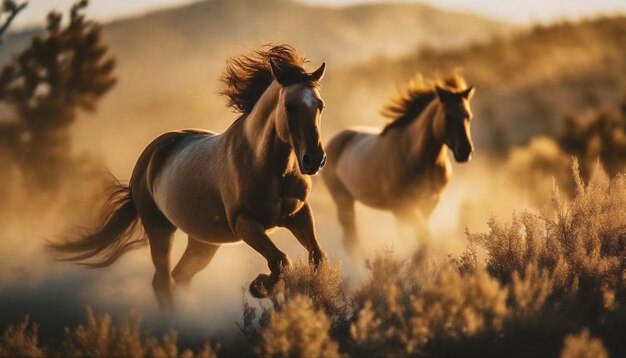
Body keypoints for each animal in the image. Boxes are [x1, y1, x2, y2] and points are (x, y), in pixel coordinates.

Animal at [48, 44, 326, 310]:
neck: (267, 166)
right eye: (289, 106)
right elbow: (280, 260)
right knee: (163, 281)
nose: (314, 159)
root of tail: (148, 157)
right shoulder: (245, 223)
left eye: (320, 106)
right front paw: (259, 286)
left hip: (203, 241)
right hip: (160, 229)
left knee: (180, 276)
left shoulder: (298, 214)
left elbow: (316, 257)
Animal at [322, 74, 472, 256]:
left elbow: (418, 236)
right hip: (343, 200)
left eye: (468, 116)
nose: (465, 151)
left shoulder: (428, 203)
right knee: (351, 241)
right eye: (447, 116)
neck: (416, 156)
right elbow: (423, 236)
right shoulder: (402, 208)